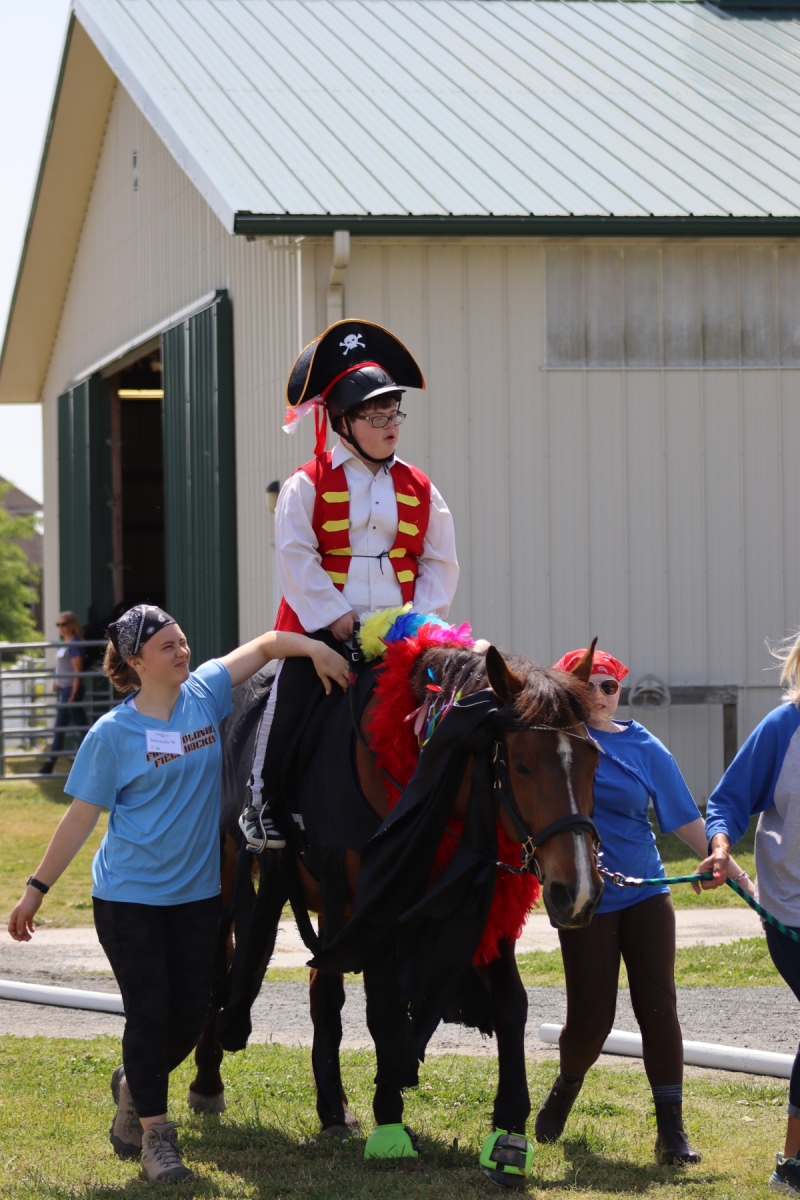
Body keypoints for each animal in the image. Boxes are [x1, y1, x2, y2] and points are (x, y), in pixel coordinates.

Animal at [188, 630, 604, 1187]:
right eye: (520, 764)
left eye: (593, 761)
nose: (577, 892)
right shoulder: (374, 908)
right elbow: (382, 1009)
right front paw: (390, 1121)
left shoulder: (483, 906)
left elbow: (510, 1005)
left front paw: (509, 1131)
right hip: (226, 877)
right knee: (219, 965)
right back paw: (208, 1082)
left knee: (322, 993)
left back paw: (333, 1110)